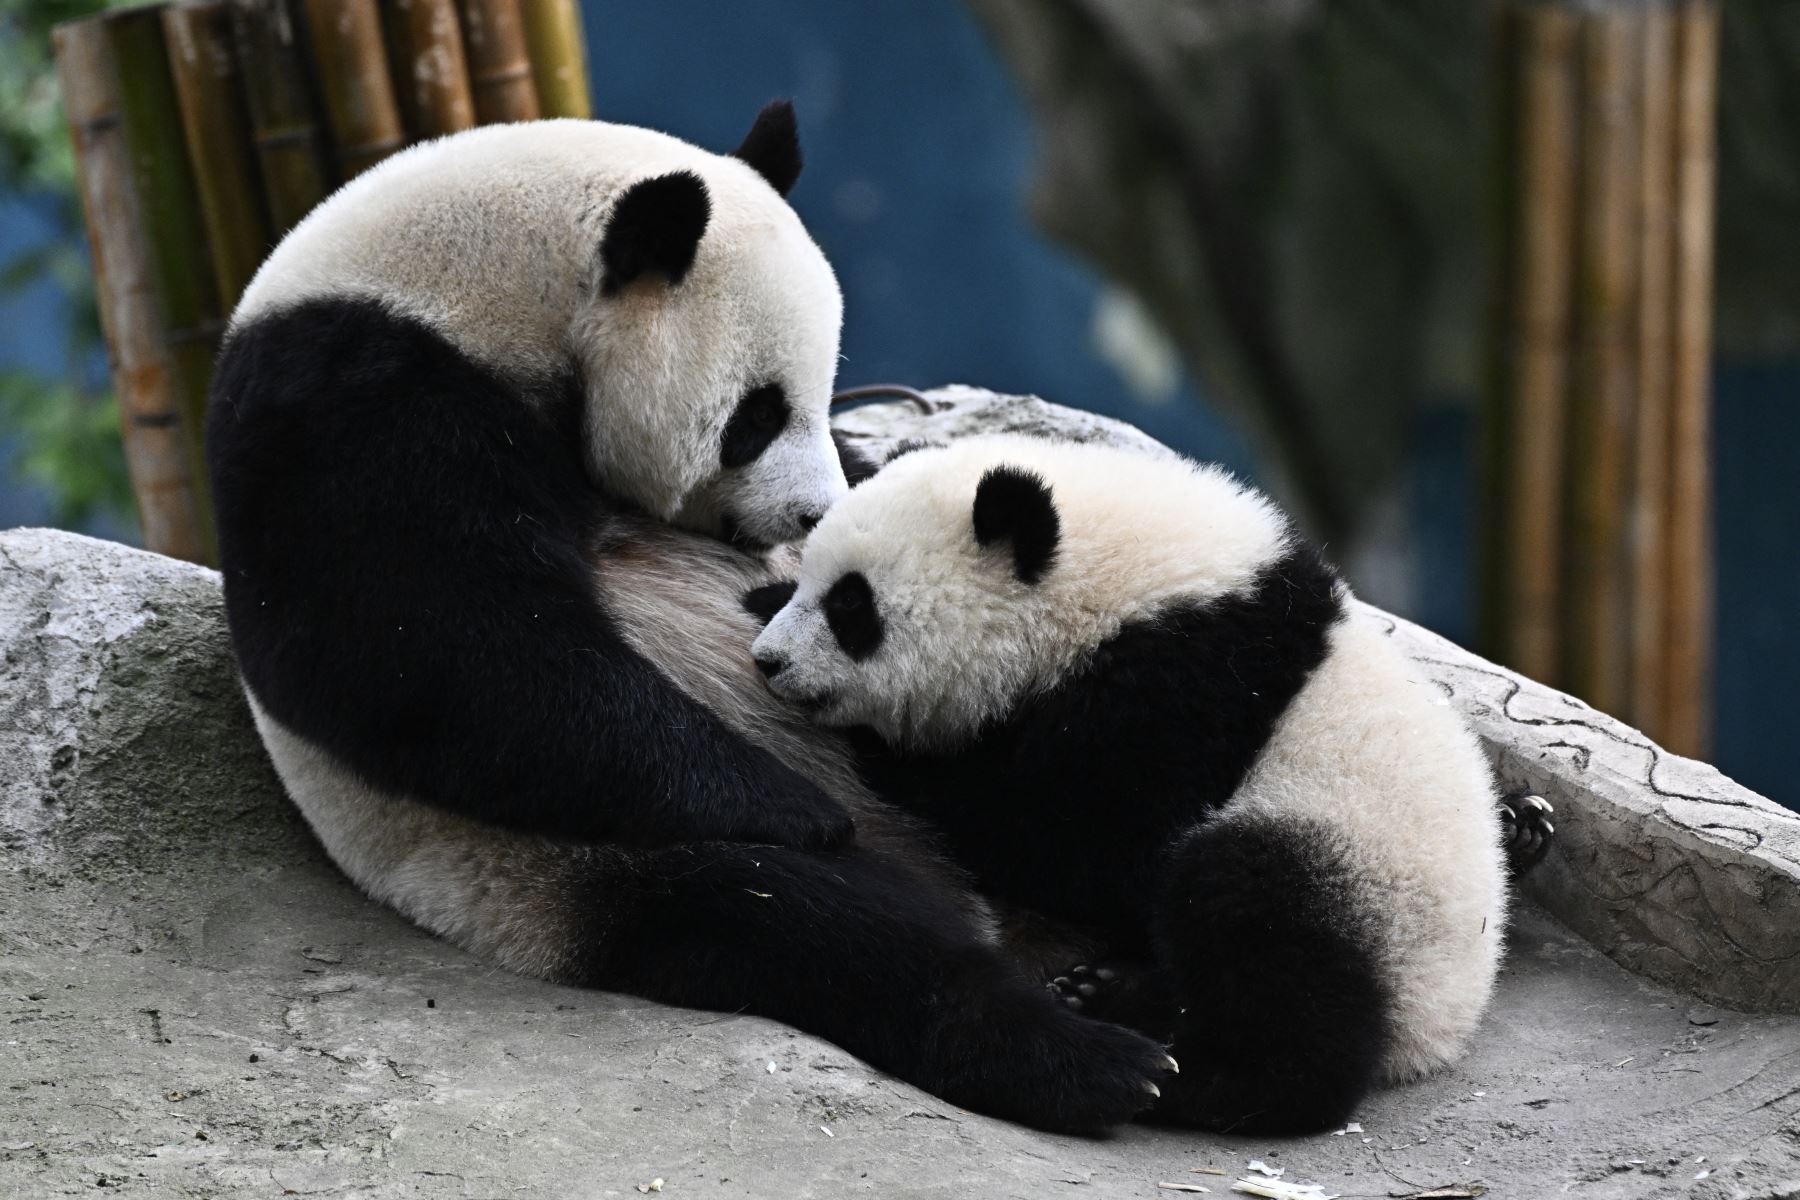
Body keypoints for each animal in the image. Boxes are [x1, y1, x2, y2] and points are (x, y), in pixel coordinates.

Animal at [204, 107, 1173, 1129]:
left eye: (824, 401)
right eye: (756, 417)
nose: (811, 516)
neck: (472, 288)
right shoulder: (355, 396)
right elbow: (426, 653)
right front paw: (793, 807)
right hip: (556, 873)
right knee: (810, 926)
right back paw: (1090, 1056)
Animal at [752, 431, 1526, 1137]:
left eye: (852, 607)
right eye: (812, 582)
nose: (768, 661)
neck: (1118, 577)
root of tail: (1444, 1025)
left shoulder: (1185, 685)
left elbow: (1082, 840)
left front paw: (894, 753)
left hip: (1364, 874)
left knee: (1259, 921)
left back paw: (1187, 1077)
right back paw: (1105, 993)